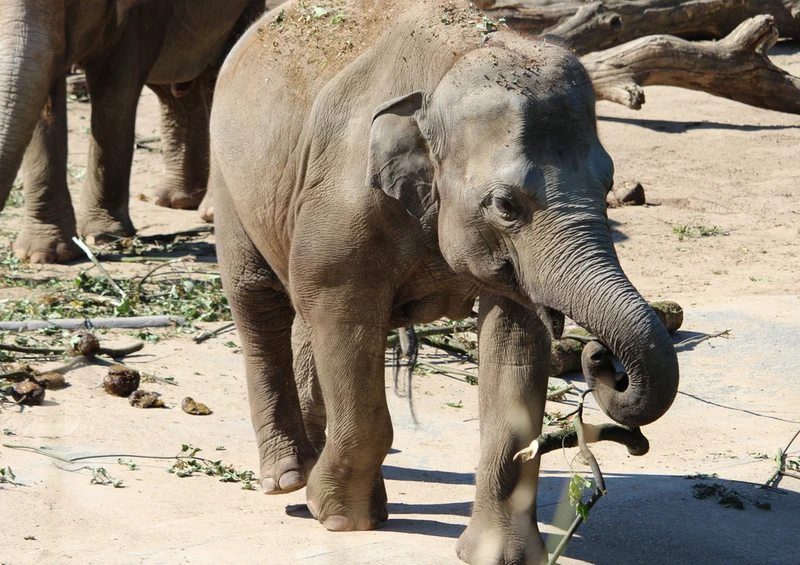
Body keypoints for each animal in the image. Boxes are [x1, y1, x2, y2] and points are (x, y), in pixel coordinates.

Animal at [0, 0, 275, 264]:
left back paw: (209, 211)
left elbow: (114, 94)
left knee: (215, 73)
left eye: (67, 4)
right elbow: (45, 106)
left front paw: (104, 235)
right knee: (173, 90)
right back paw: (174, 200)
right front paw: (42, 255)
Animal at [210, 1, 680, 564]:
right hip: (230, 175)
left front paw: (499, 555)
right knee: (259, 301)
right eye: (506, 205)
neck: (453, 63)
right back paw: (288, 477)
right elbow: (344, 317)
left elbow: (513, 346)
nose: (600, 358)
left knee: (301, 314)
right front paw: (342, 518)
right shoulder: (343, 200)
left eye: (608, 185)